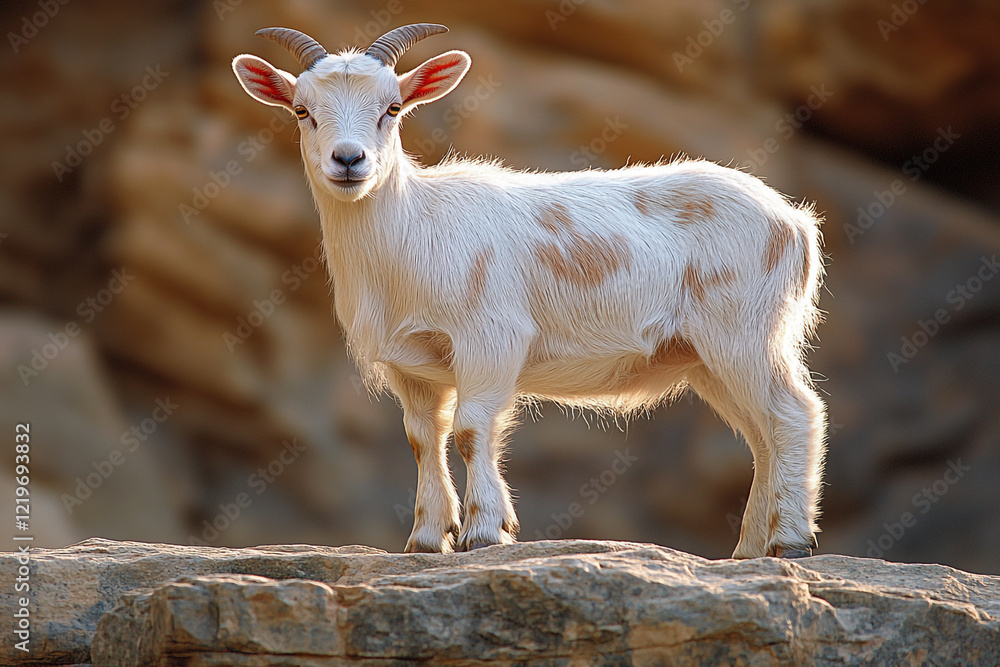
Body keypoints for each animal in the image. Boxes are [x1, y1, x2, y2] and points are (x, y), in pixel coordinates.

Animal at [233, 24, 826, 558]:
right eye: (302, 111)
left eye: (393, 108)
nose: (349, 160)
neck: (413, 235)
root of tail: (796, 224)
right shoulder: (411, 366)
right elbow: (424, 438)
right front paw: (426, 538)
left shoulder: (491, 337)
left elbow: (472, 431)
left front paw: (484, 532)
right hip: (706, 356)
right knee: (761, 435)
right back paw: (750, 549)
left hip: (744, 330)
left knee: (793, 413)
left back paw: (792, 541)